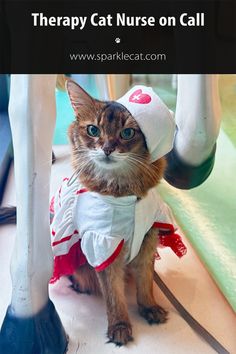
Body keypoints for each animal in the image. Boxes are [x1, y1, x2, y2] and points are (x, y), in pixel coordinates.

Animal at [65, 79, 167, 346]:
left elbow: (145, 281)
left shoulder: (148, 237)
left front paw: (149, 307)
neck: (124, 193)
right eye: (93, 130)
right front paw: (120, 325)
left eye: (128, 133)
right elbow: (113, 295)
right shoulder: (103, 245)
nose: (107, 149)